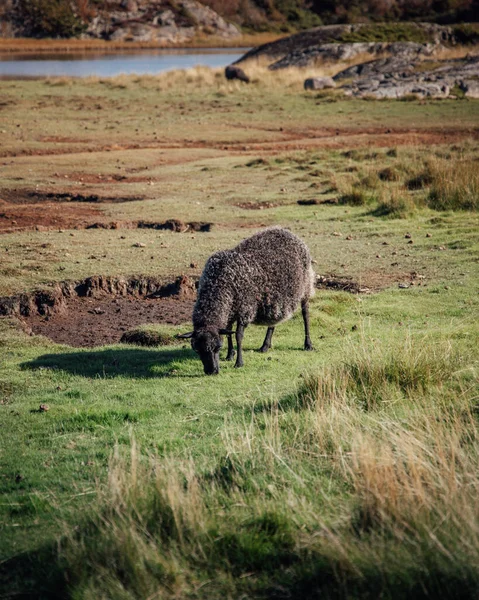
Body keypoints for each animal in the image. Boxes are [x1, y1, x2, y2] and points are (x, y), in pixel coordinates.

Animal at [178, 226, 316, 372]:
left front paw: (239, 362)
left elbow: (238, 335)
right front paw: (229, 355)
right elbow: (228, 332)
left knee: (305, 314)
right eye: (197, 350)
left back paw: (308, 344)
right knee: (273, 319)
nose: (212, 371)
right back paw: (265, 346)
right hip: (275, 297)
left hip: (306, 286)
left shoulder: (245, 310)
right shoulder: (230, 310)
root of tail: (286, 231)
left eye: (218, 347)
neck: (219, 282)